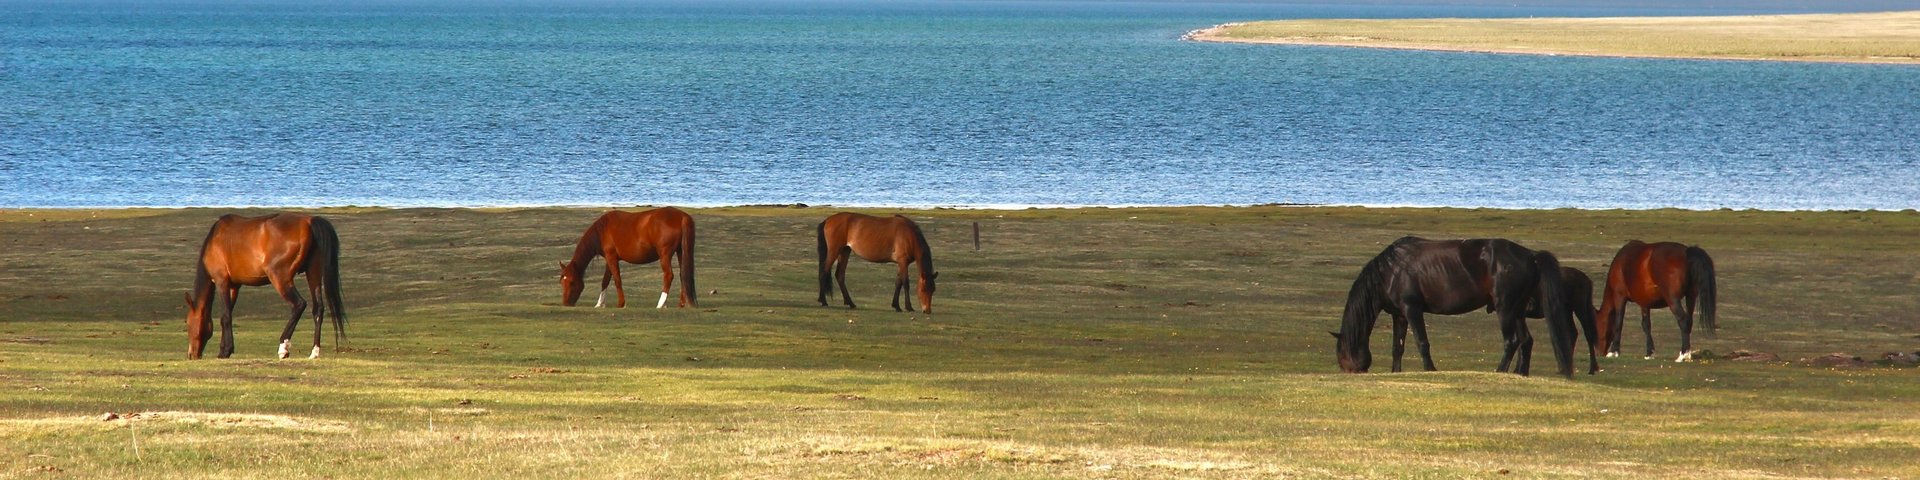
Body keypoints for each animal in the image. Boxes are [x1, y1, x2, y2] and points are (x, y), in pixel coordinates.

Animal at [184, 213, 347, 360]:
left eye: (188, 323)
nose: (191, 355)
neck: (215, 240)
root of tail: (308, 221)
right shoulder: (234, 286)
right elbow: (228, 314)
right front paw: (226, 349)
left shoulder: (221, 281)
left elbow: (225, 317)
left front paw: (225, 351)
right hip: (313, 273)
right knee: (318, 308)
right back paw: (314, 352)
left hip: (279, 277)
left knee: (299, 304)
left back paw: (283, 348)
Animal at [559, 208, 696, 308]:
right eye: (562, 282)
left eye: (572, 282)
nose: (566, 303)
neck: (603, 230)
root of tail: (682, 217)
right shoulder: (610, 259)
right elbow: (605, 280)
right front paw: (599, 303)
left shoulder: (611, 257)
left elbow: (617, 279)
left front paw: (621, 303)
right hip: (680, 251)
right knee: (682, 274)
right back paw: (681, 303)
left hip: (665, 255)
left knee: (669, 275)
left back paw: (661, 304)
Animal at [1331, 236, 1578, 378]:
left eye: (1341, 352)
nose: (1350, 371)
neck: (1391, 270)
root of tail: (1531, 256)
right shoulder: (1399, 315)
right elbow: (1397, 347)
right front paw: (1396, 372)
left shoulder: (1412, 310)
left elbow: (1422, 343)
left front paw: (1430, 370)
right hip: (1517, 310)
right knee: (1526, 341)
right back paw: (1520, 374)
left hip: (1505, 309)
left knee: (1512, 341)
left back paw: (1499, 371)